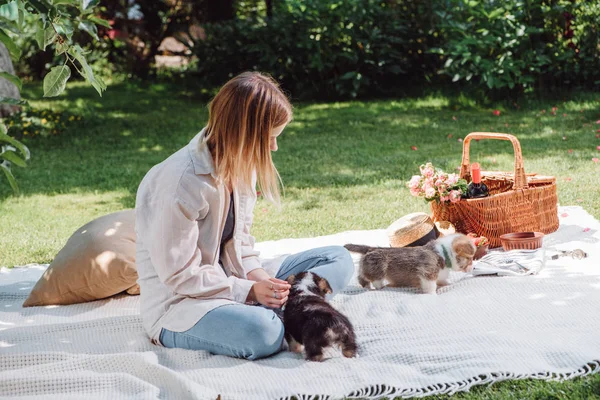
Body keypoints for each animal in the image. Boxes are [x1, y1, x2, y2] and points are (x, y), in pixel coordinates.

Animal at [344, 234, 476, 294]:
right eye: (470, 259)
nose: (473, 267)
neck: (444, 253)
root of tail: (370, 248)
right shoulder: (428, 273)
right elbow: (430, 286)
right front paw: (432, 294)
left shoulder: (440, 273)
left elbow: (442, 279)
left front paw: (447, 283)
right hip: (377, 269)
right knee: (374, 280)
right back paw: (380, 287)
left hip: (365, 267)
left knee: (361, 277)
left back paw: (367, 286)